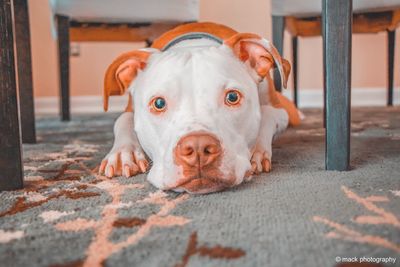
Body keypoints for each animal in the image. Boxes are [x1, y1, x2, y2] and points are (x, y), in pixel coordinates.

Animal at [100, 22, 300, 195]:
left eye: (232, 97)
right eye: (159, 103)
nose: (198, 147)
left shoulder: (280, 111)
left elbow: (267, 114)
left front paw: (257, 150)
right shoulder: (130, 109)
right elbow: (122, 120)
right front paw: (123, 153)